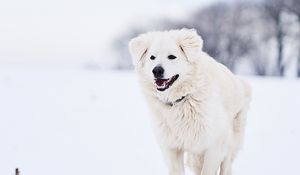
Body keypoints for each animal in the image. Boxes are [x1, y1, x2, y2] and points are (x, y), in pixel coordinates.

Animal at [128, 28, 251, 175]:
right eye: (152, 57)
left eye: (172, 57)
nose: (156, 70)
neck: (181, 100)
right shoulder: (172, 148)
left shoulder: (215, 144)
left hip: (230, 142)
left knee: (226, 166)